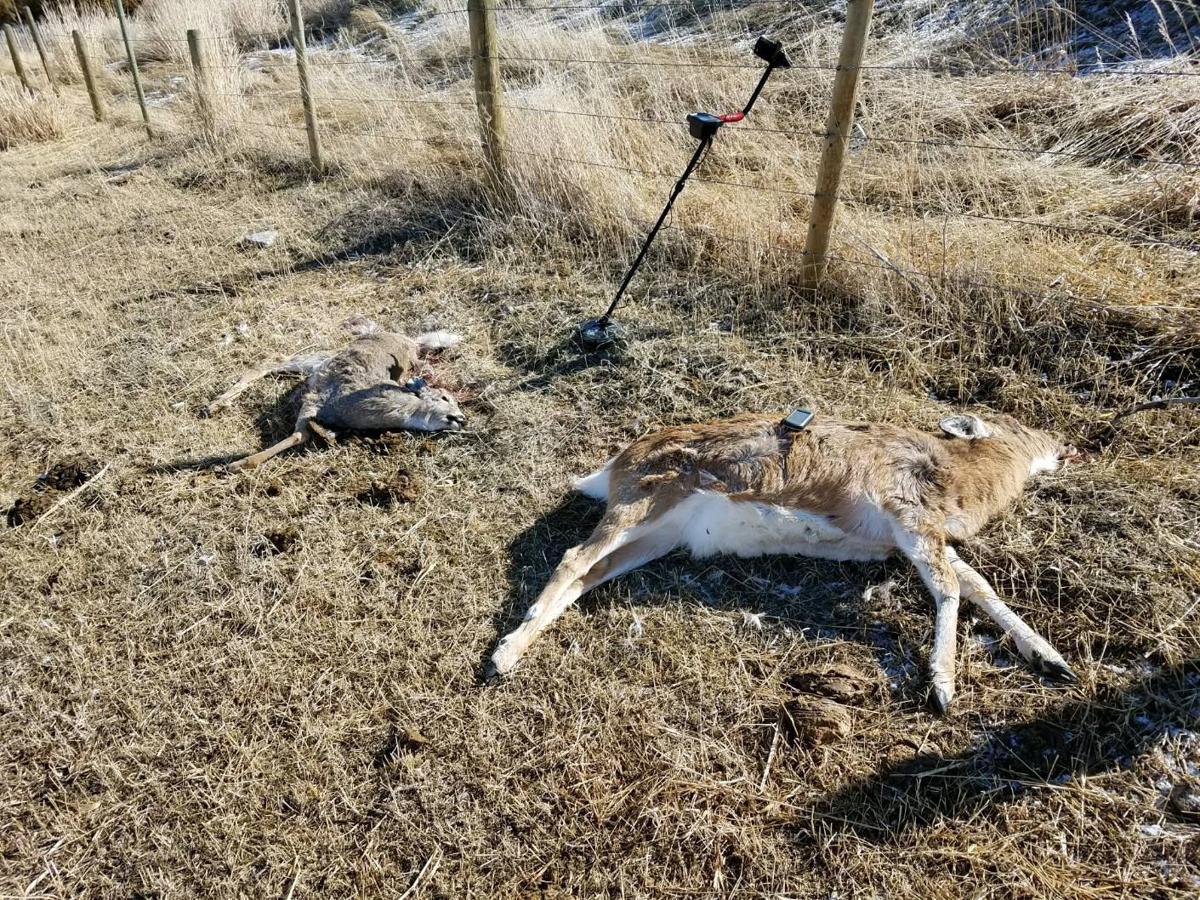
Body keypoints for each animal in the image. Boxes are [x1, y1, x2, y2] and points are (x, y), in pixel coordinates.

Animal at [206, 318, 465, 472]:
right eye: (444, 397)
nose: (462, 419)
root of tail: (409, 341)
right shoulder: (318, 399)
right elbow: (298, 435)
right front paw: (233, 464)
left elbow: (301, 435)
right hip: (327, 359)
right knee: (272, 361)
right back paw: (215, 405)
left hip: (318, 364)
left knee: (273, 362)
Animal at [488, 410, 1083, 712]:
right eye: (1017, 425)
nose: (1066, 444)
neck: (959, 478)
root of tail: (613, 466)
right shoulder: (908, 517)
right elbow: (951, 589)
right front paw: (942, 688)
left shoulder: (907, 539)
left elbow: (980, 586)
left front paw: (1053, 659)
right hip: (644, 502)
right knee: (571, 557)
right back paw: (502, 656)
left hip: (659, 537)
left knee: (588, 572)